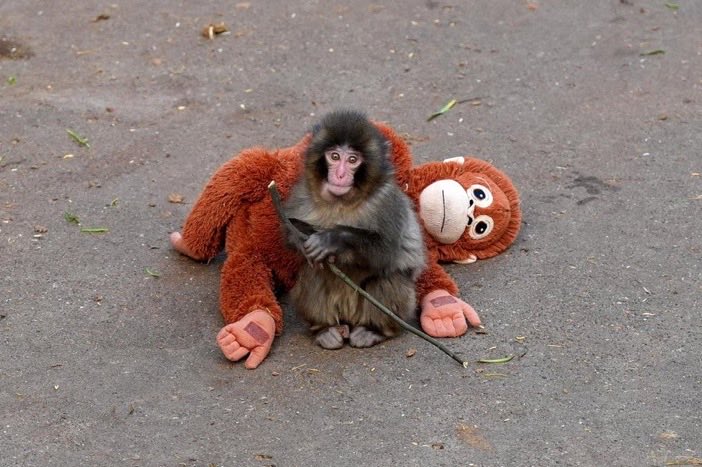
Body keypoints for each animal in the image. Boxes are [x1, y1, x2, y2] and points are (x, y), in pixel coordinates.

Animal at [283, 110, 427, 349]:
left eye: (352, 160)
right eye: (334, 156)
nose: (340, 175)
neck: (342, 202)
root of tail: (349, 320)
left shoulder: (386, 202)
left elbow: (385, 253)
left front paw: (332, 239)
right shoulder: (301, 193)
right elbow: (289, 233)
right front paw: (305, 240)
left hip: (402, 305)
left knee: (386, 279)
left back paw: (374, 330)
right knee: (313, 273)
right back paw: (324, 329)